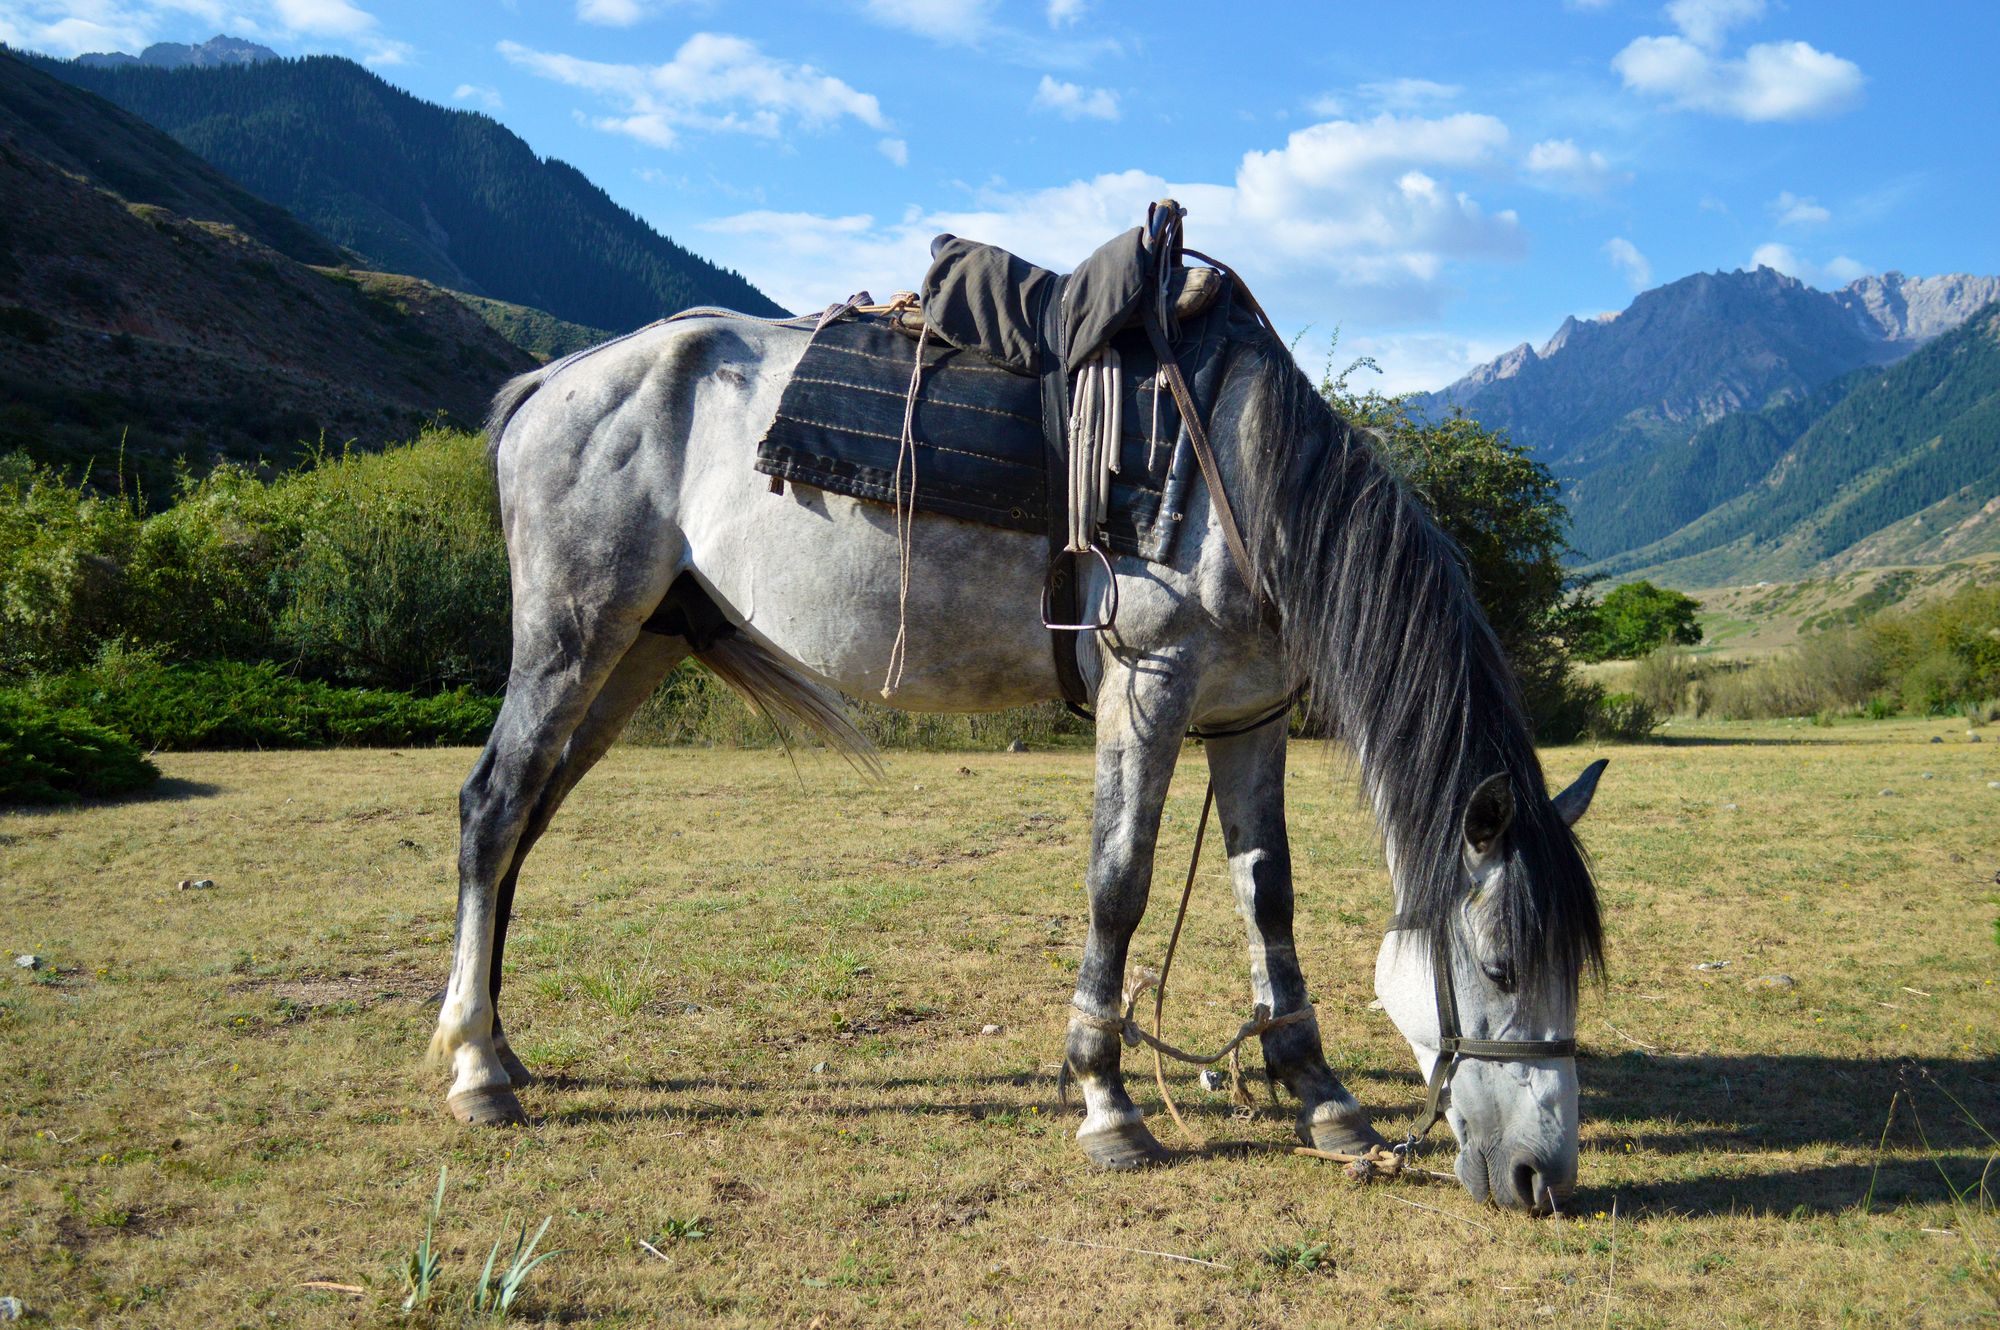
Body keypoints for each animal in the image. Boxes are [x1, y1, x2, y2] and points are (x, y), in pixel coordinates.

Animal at [430, 300, 1616, 1216]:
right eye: (1500, 967)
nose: (1540, 1177)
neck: (1238, 477)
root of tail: (554, 381)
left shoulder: (1249, 717)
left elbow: (1266, 891)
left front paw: (1317, 1091)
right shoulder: (1148, 689)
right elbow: (1120, 883)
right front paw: (1106, 1101)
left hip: (639, 643)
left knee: (528, 817)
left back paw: (497, 1041)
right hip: (573, 634)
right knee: (491, 809)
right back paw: (480, 1069)